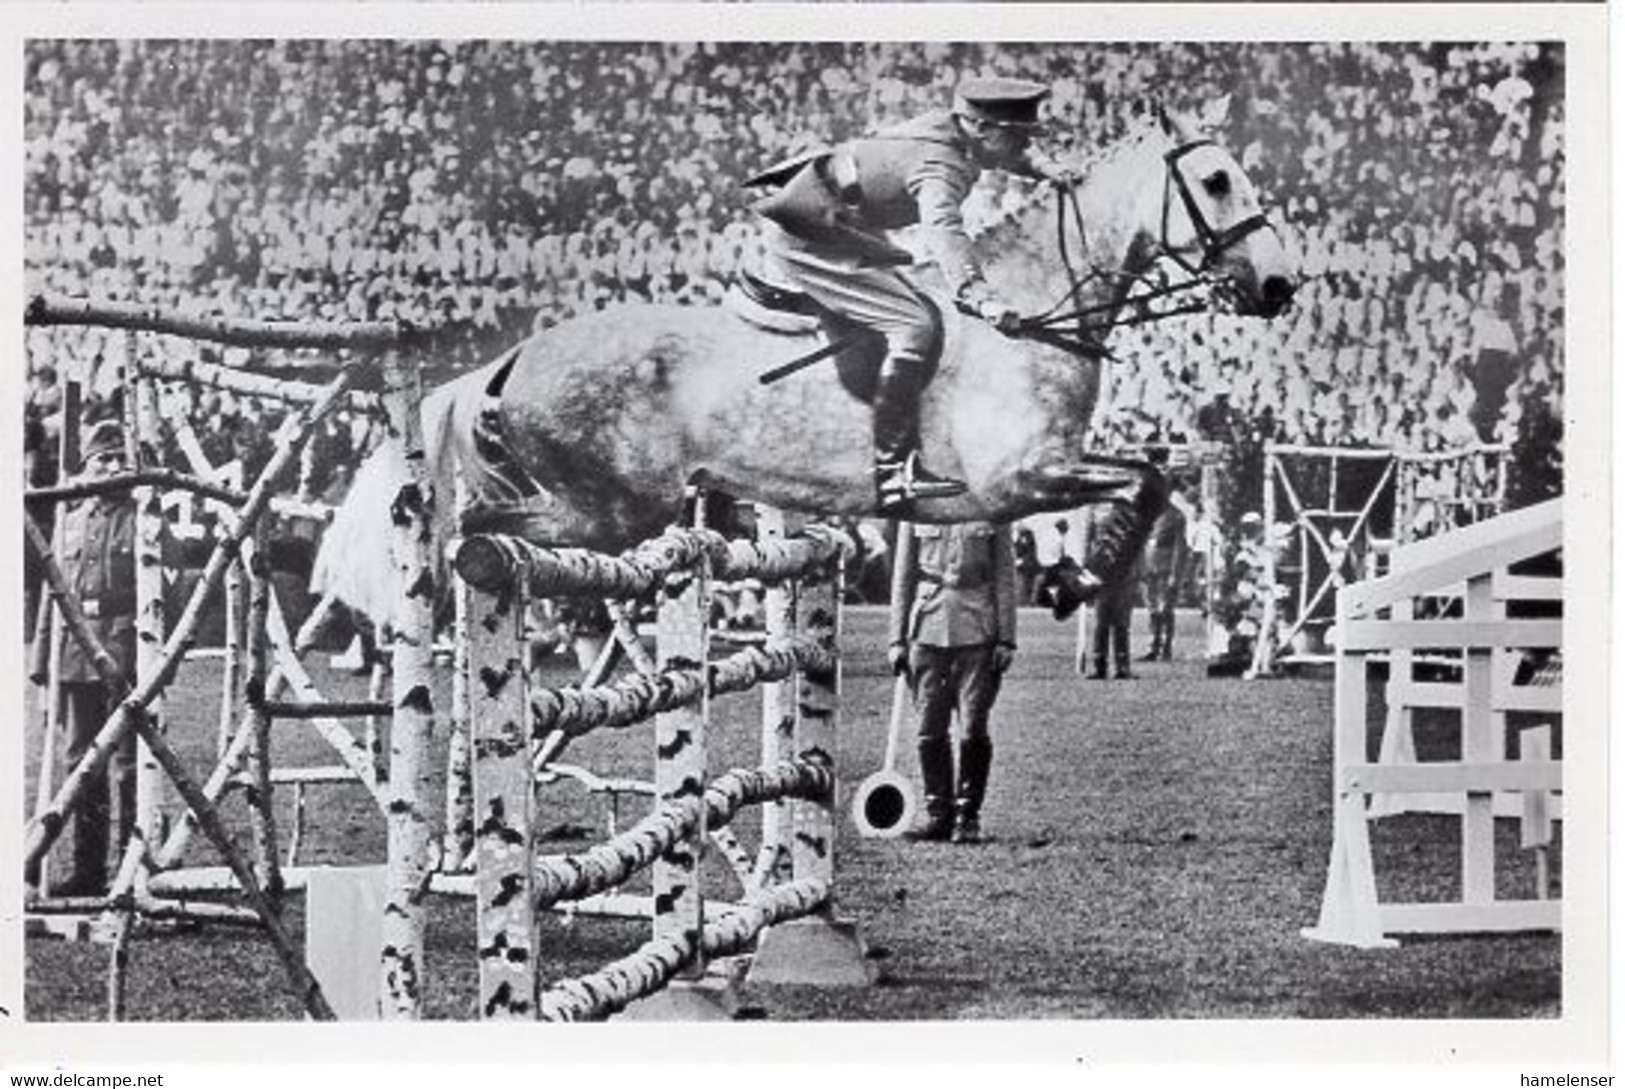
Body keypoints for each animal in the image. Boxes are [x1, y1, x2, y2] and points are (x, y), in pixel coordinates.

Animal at [316, 102, 1300, 630]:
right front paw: (1084, 576)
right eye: (1215, 182)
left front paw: (1071, 575)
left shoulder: (1043, 472)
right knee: (470, 528)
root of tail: (517, 352)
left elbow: (1147, 479)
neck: (1038, 317)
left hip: (610, 510)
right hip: (612, 508)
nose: (1279, 285)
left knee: (473, 526)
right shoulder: (1020, 476)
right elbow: (1140, 484)